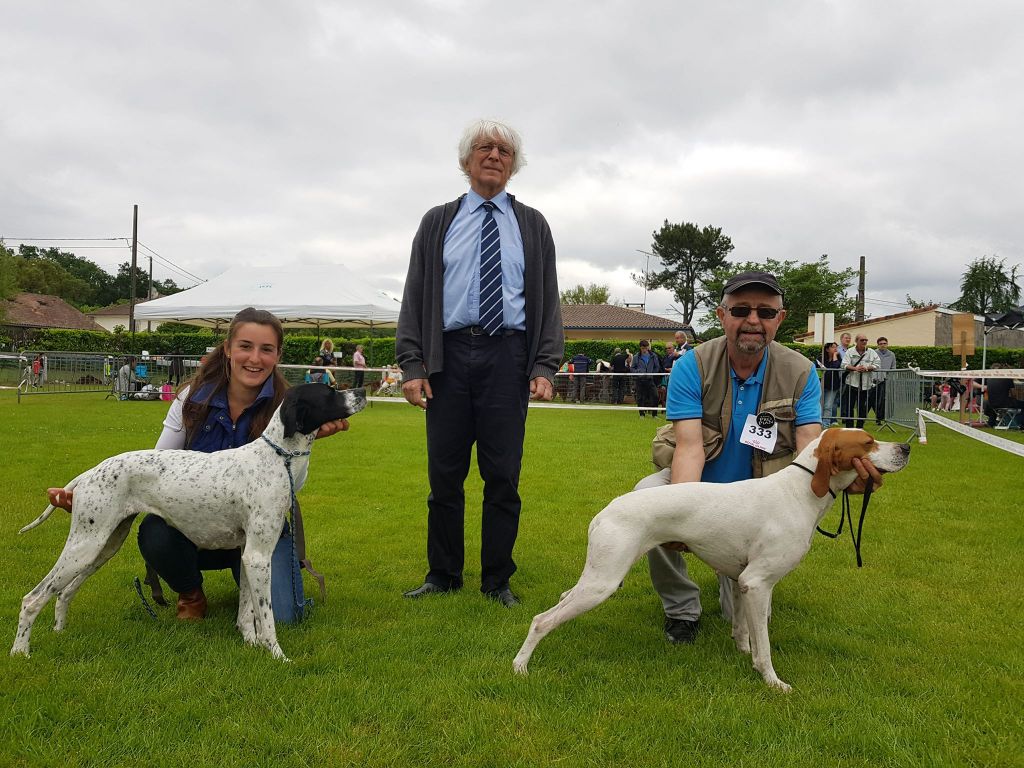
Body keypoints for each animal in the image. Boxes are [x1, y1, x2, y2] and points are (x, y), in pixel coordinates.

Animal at [12, 385, 366, 663]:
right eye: (329, 392)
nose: (362, 391)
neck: (276, 458)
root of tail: (88, 474)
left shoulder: (247, 554)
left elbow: (247, 610)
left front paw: (251, 645)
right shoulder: (258, 555)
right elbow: (266, 617)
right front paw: (277, 656)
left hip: (102, 546)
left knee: (63, 593)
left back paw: (59, 632)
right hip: (86, 545)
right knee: (33, 599)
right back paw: (20, 652)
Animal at [512, 430, 913, 696]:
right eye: (868, 443)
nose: (907, 447)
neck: (799, 491)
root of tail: (605, 511)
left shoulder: (741, 581)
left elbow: (745, 630)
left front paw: (744, 653)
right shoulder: (758, 582)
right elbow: (765, 647)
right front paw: (772, 681)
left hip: (595, 578)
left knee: (560, 602)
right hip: (602, 584)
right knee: (541, 620)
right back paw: (520, 667)